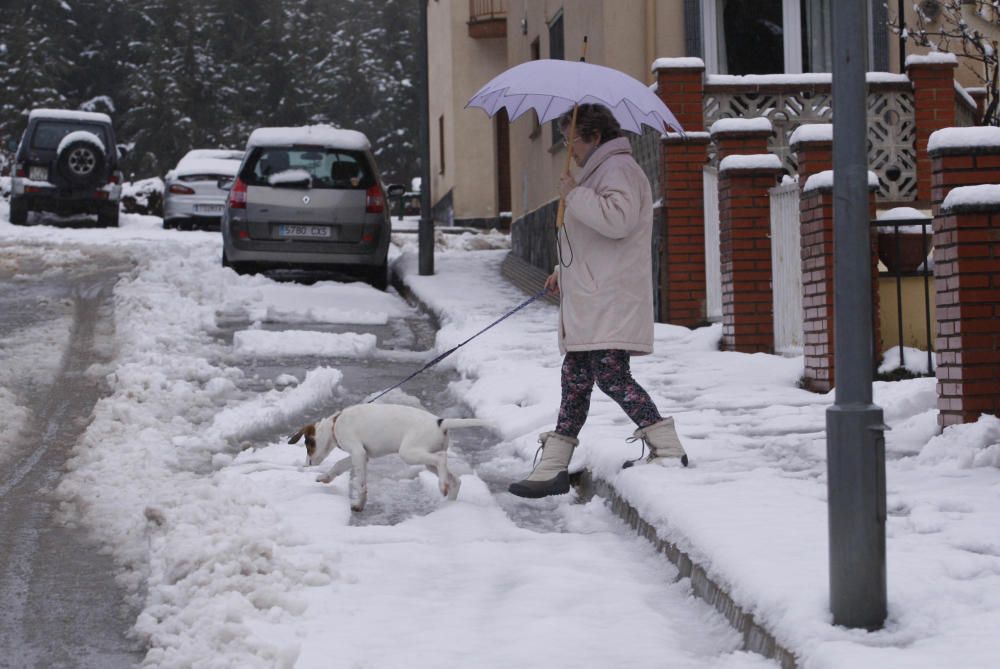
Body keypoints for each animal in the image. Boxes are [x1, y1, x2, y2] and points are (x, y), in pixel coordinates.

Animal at [290, 402, 492, 512]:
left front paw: (359, 504)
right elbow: (338, 465)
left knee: (442, 458)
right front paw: (325, 477)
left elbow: (361, 484)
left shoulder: (358, 452)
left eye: (308, 444)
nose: (307, 464)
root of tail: (440, 422)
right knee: (456, 479)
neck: (335, 424)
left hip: (409, 453)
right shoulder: (362, 455)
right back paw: (449, 505)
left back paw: (442, 486)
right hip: (426, 458)